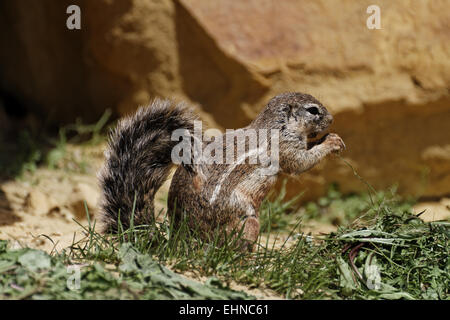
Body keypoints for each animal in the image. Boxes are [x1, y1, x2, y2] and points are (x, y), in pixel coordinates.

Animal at [98, 92, 344, 250]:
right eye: (313, 110)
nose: (332, 119)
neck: (276, 125)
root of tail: (183, 238)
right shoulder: (286, 145)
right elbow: (299, 163)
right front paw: (332, 141)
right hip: (247, 221)